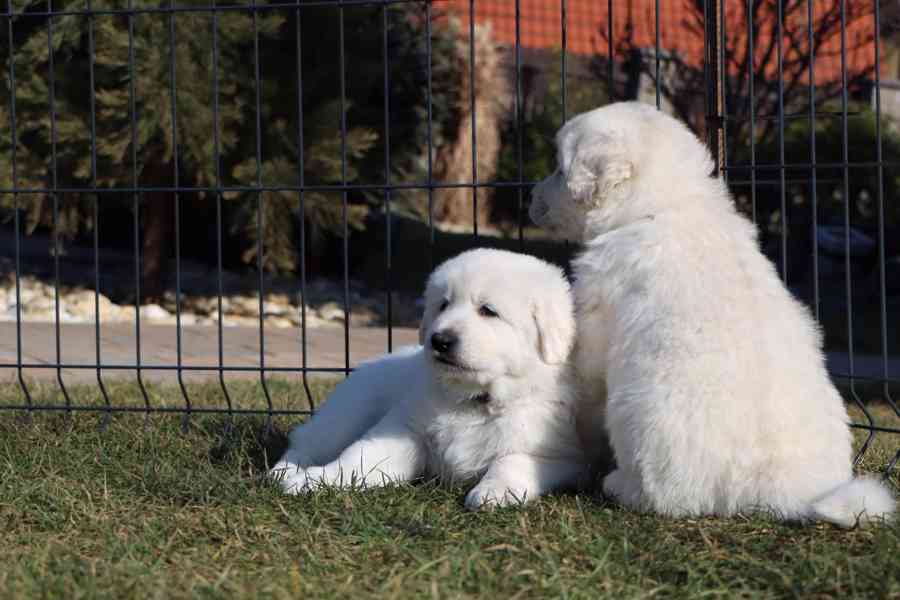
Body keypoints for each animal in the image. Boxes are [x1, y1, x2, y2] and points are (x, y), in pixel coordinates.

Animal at [270, 246, 588, 508]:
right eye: (443, 304)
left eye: (488, 311)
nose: (439, 340)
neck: (475, 399)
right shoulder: (406, 431)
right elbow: (357, 459)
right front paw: (313, 480)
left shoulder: (560, 456)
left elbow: (513, 461)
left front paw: (492, 492)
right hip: (346, 413)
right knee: (307, 441)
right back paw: (285, 472)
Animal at [532, 102, 896, 524]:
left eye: (559, 170)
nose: (530, 196)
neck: (664, 207)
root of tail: (785, 495)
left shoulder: (597, 318)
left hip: (638, 420)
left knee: (662, 496)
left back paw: (618, 485)